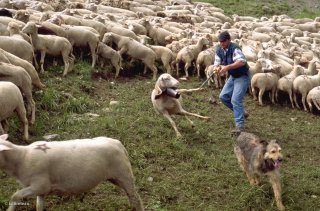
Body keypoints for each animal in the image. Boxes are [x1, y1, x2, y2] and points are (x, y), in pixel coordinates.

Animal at [0, 134, 144, 211]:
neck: (21, 158)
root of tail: (118, 143)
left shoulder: (40, 185)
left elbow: (15, 196)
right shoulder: (41, 191)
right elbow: (39, 206)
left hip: (124, 175)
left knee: (135, 197)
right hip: (116, 177)